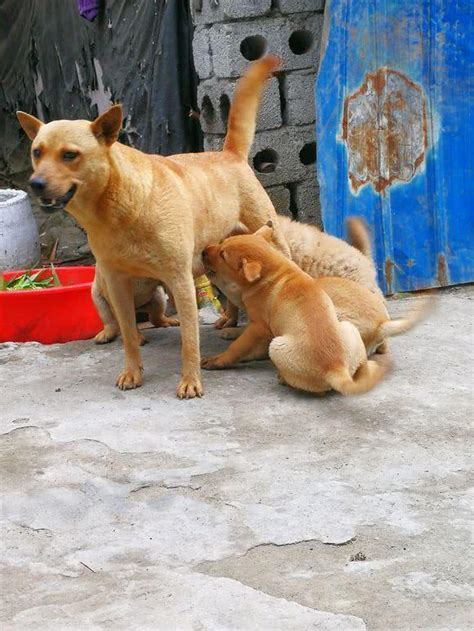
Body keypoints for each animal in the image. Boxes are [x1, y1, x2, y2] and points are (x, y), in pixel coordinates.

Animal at [16, 56, 288, 398]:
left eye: (69, 155)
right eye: (37, 152)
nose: (35, 184)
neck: (116, 208)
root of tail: (229, 154)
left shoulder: (180, 280)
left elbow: (189, 342)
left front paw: (190, 380)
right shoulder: (117, 284)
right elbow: (130, 336)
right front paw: (132, 372)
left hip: (267, 243)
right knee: (122, 322)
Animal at [202, 226, 432, 396]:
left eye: (222, 254)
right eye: (221, 244)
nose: (203, 250)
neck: (276, 270)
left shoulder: (261, 328)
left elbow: (240, 346)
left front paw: (219, 358)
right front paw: (230, 329)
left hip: (282, 343)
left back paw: (283, 377)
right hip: (347, 329)